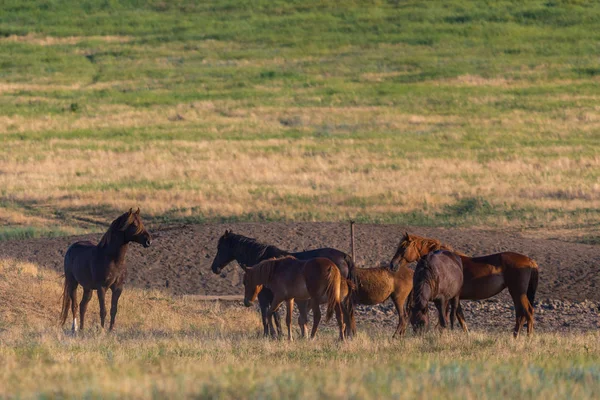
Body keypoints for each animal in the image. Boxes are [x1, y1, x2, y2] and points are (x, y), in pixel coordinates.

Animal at [210, 231, 356, 338]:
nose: (214, 268)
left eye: (220, 247)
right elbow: (276, 316)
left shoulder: (265, 298)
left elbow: (267, 316)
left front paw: (270, 335)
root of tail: (344, 256)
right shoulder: (277, 297)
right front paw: (279, 335)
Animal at [390, 231, 540, 338]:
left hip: (517, 292)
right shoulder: (454, 299)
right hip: (517, 293)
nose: (392, 265)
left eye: (403, 247)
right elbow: (460, 318)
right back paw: (515, 337)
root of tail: (530, 261)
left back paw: (528, 337)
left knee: (527, 312)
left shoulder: (449, 298)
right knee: (521, 314)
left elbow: (448, 318)